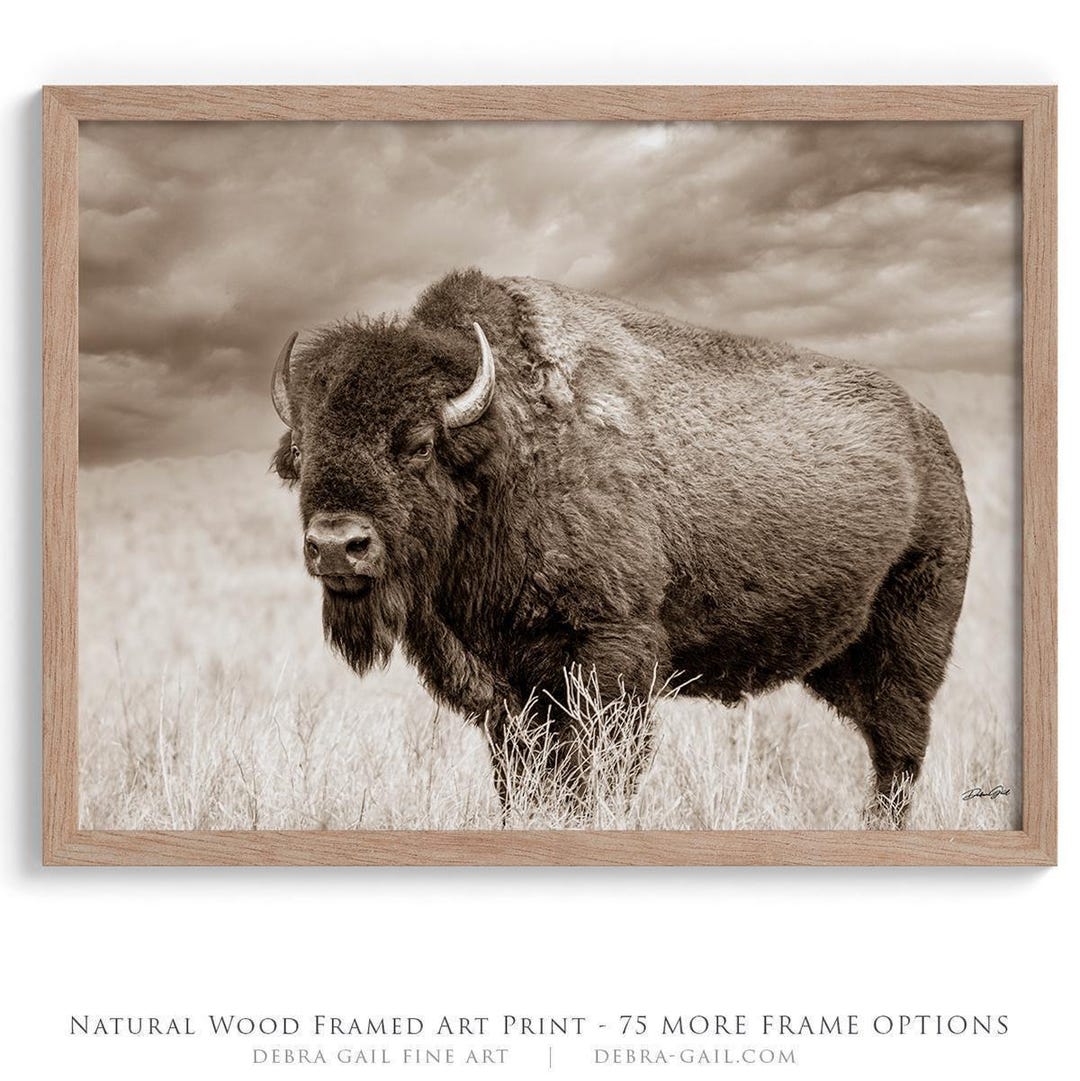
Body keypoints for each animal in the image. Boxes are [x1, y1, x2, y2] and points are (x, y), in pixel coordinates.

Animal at [270, 270, 971, 828]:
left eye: (416, 443)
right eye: (301, 453)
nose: (337, 546)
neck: (508, 449)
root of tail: (934, 438)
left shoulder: (609, 652)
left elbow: (597, 767)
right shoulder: (506, 687)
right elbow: (521, 776)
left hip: (909, 642)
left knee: (899, 748)